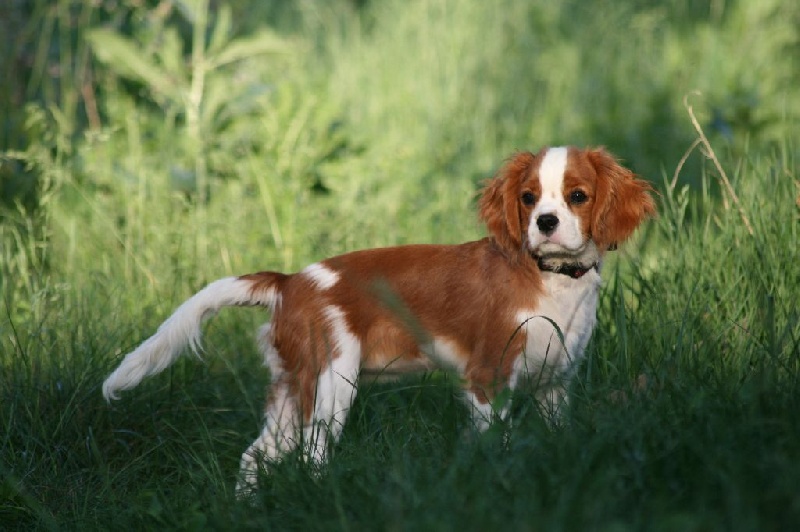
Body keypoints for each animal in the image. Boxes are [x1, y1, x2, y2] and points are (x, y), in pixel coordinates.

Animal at [103, 147, 656, 494]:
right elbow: (494, 441)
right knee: (311, 456)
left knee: (255, 456)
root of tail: (289, 281)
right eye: (528, 198)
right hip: (331, 383)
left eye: (577, 196)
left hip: (292, 390)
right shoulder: (488, 379)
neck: (550, 276)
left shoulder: (555, 383)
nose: (545, 222)